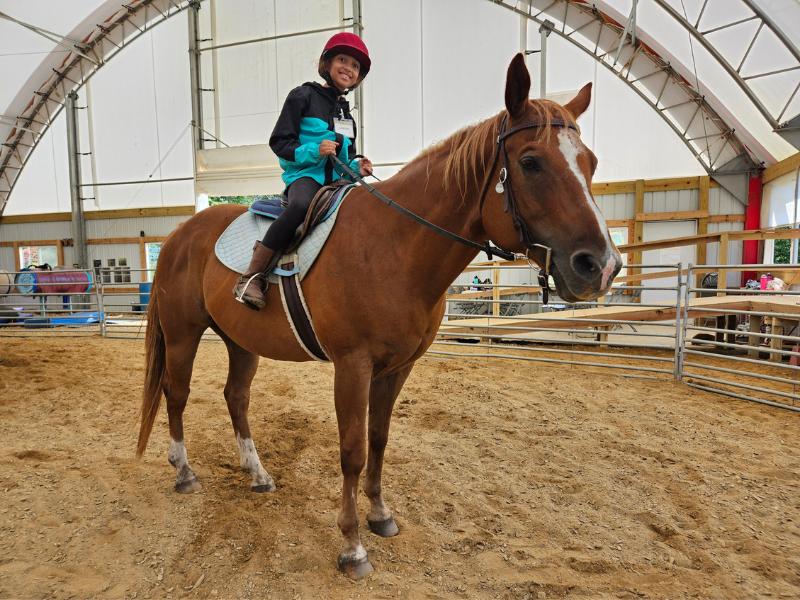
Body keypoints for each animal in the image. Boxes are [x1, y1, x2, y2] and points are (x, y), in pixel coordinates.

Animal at [138, 54, 620, 580]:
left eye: (592, 163)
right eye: (531, 162)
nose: (601, 266)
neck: (395, 245)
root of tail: (181, 232)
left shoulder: (397, 367)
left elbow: (379, 440)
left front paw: (380, 515)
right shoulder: (353, 366)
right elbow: (351, 450)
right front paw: (352, 546)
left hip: (240, 341)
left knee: (236, 397)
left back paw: (258, 474)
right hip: (183, 335)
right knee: (177, 394)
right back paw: (184, 472)